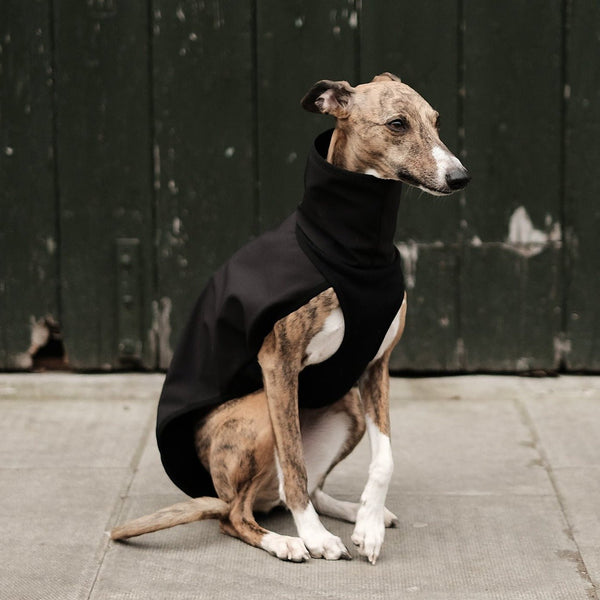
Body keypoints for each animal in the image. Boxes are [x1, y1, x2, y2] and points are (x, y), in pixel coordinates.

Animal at [111, 72, 468, 564]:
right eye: (397, 124)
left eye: (435, 121)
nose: (460, 177)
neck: (357, 251)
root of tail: (217, 491)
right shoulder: (278, 365)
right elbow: (293, 463)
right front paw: (314, 536)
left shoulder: (376, 367)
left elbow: (385, 459)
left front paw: (370, 526)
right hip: (260, 415)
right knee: (237, 513)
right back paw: (286, 540)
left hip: (349, 412)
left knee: (290, 490)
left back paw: (352, 512)